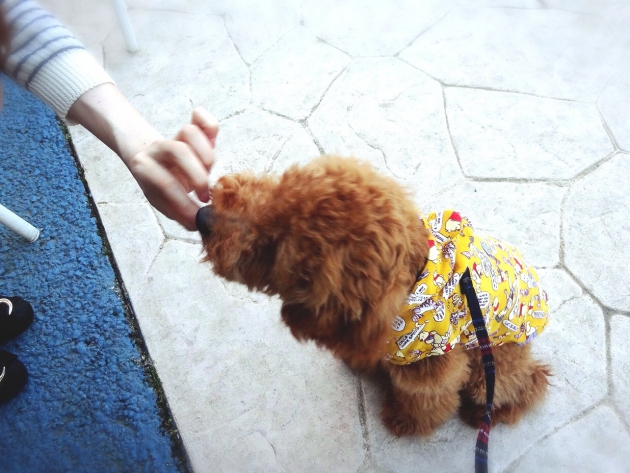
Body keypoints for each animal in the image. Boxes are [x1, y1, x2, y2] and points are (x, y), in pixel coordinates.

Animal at [195, 154, 552, 436]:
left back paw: (490, 412)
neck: (414, 285)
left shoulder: (432, 367)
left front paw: (407, 423)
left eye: (273, 249)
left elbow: (428, 399)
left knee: (526, 384)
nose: (202, 217)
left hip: (491, 366)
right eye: (282, 186)